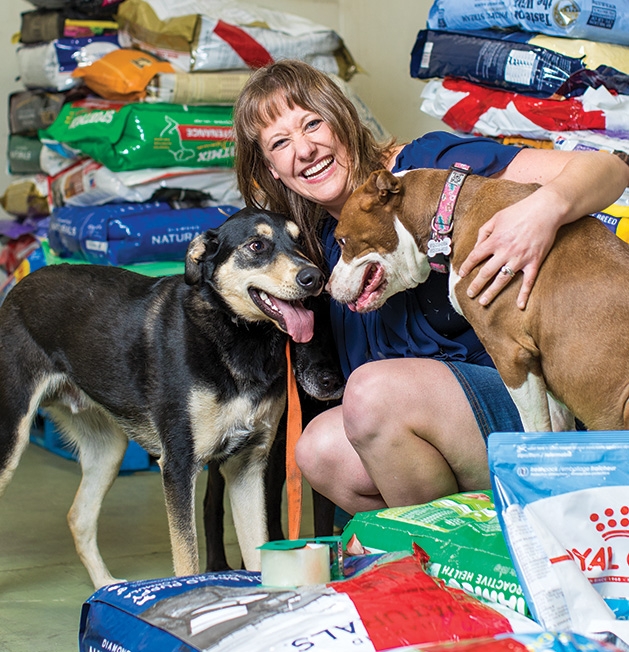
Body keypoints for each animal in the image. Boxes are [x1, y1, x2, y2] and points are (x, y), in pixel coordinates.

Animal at [0, 206, 324, 588]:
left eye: (300, 240)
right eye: (257, 245)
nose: (315, 277)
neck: (234, 334)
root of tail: (19, 287)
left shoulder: (247, 465)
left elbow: (258, 553)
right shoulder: (179, 466)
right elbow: (187, 561)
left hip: (107, 450)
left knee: (78, 517)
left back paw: (107, 585)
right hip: (10, 438)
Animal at [326, 168, 628, 432]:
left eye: (342, 241)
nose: (327, 287)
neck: (449, 214)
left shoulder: (510, 353)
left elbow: (534, 428)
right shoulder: (541, 365)